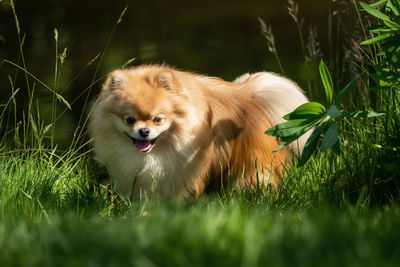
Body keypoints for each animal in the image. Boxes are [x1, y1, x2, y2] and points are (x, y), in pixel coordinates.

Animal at [90, 65, 310, 201]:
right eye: (130, 120)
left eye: (158, 119)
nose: (144, 131)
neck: (158, 151)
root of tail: (250, 97)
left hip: (251, 163)